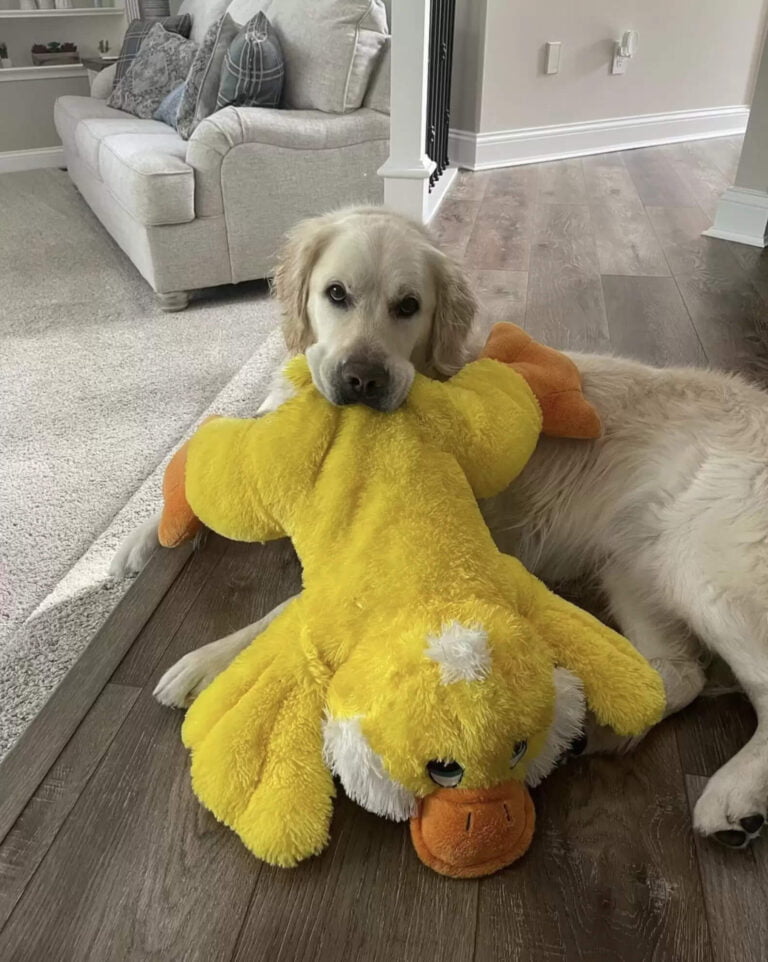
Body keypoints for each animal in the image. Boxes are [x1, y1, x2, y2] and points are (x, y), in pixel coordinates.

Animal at [111, 204, 768, 848]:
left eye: (409, 306)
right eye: (335, 294)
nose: (362, 379)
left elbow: (285, 610)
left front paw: (205, 662)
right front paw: (137, 545)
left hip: (702, 567)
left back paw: (732, 797)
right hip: (630, 567)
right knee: (680, 674)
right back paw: (597, 730)